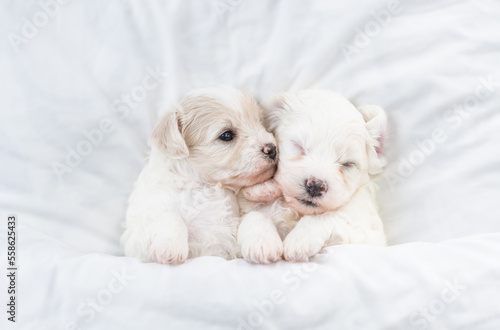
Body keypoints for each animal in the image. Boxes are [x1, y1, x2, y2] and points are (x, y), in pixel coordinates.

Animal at [121, 85, 278, 266]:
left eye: (260, 123)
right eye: (227, 135)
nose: (272, 148)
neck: (208, 186)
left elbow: (255, 215)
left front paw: (263, 244)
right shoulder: (138, 237)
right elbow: (170, 217)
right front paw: (170, 247)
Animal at [237, 89, 386, 262]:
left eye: (348, 164)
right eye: (298, 146)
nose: (315, 186)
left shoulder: (369, 235)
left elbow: (328, 216)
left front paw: (299, 240)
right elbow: (255, 213)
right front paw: (261, 242)